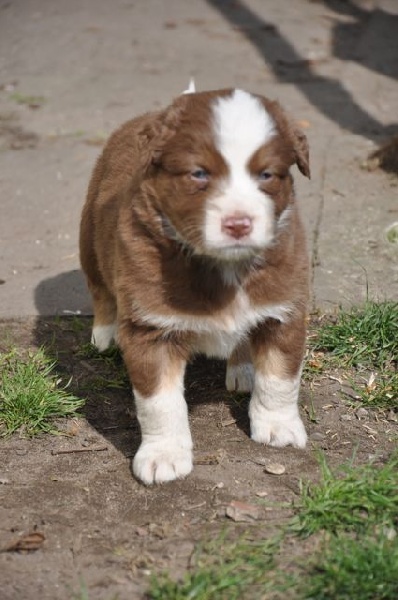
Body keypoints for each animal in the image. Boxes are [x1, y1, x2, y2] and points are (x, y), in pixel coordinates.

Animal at [79, 86, 310, 486]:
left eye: (266, 174)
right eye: (199, 174)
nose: (239, 223)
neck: (223, 267)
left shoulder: (285, 309)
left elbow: (280, 378)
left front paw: (278, 427)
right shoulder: (150, 326)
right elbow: (160, 403)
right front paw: (163, 458)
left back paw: (243, 368)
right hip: (90, 234)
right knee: (100, 288)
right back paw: (105, 333)